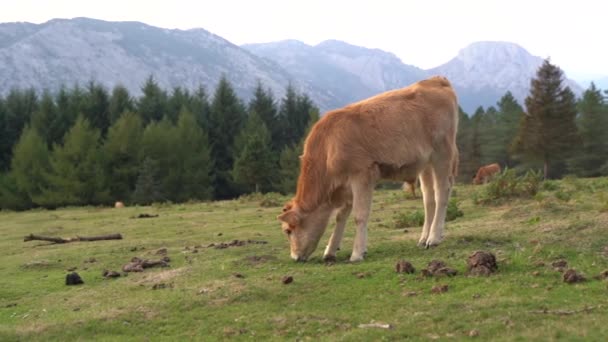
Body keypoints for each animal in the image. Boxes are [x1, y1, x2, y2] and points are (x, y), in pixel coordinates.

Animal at [278, 75, 458, 262]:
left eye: (288, 230)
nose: (294, 257)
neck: (328, 145)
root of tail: (435, 80)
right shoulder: (346, 184)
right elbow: (341, 216)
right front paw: (330, 251)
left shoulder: (361, 174)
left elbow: (360, 215)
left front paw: (357, 253)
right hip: (425, 163)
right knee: (428, 198)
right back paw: (424, 238)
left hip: (442, 152)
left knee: (442, 192)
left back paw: (434, 238)